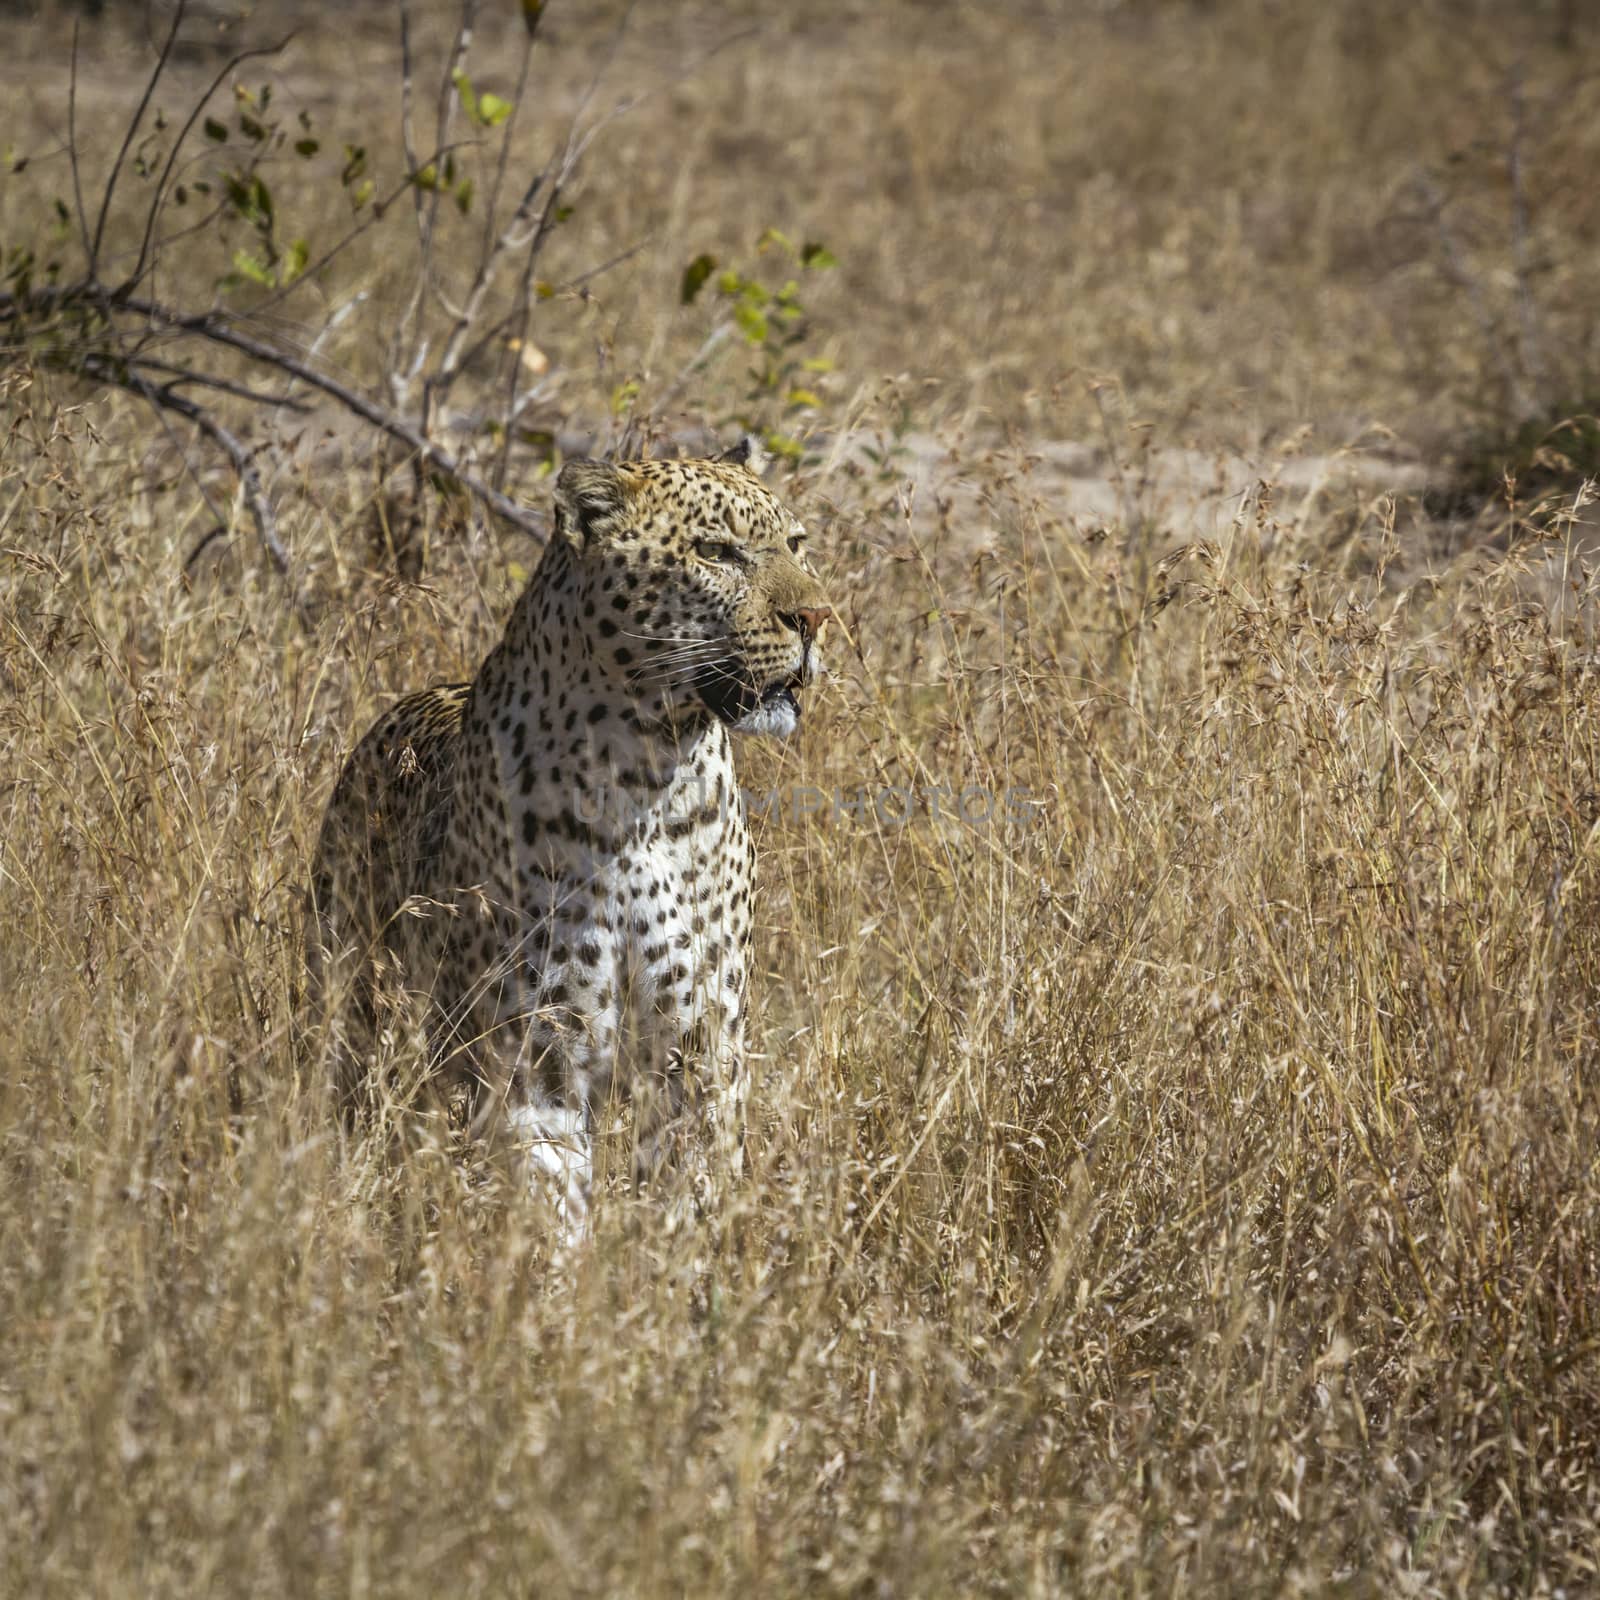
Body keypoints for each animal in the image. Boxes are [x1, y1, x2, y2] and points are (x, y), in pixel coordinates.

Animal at [313, 444, 838, 1241]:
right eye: (716, 553)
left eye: (798, 543)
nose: (813, 617)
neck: (648, 777)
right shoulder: (538, 1059)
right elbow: (548, 1207)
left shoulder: (701, 1053)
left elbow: (690, 1200)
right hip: (358, 1010)